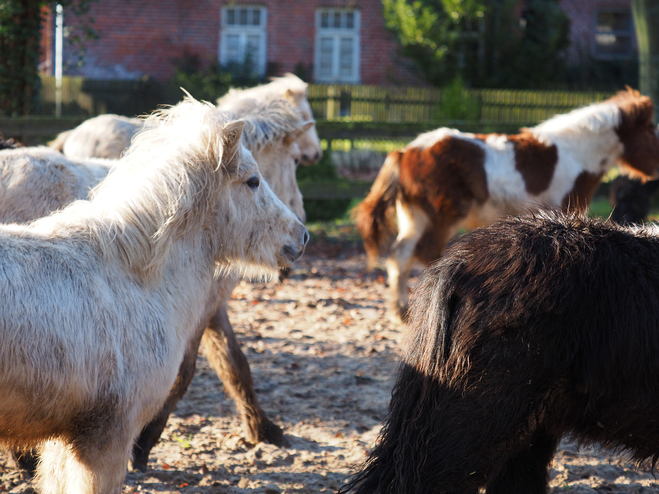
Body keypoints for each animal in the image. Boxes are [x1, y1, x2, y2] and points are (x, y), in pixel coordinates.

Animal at [358, 89, 659, 320]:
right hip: (444, 217)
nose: (657, 169)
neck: (574, 154)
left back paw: (402, 313)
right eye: (649, 130)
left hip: (414, 216)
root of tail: (405, 151)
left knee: (400, 256)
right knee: (426, 254)